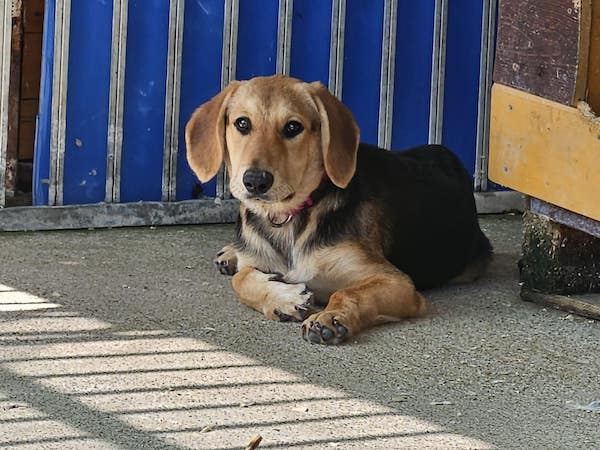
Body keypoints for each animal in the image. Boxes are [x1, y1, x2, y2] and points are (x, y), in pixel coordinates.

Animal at [185, 75, 492, 345]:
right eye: (242, 123)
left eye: (293, 127)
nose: (256, 181)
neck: (289, 218)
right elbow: (242, 280)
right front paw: (284, 299)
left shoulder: (397, 283)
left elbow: (348, 293)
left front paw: (330, 318)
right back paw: (230, 253)